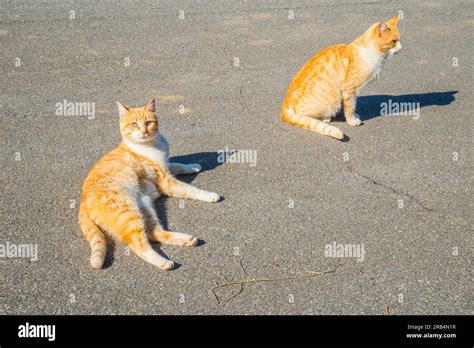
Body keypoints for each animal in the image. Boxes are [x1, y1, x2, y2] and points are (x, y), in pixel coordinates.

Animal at [78, 99, 220, 270]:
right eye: (134, 124)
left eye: (148, 122)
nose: (144, 131)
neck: (151, 145)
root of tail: (83, 199)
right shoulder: (166, 181)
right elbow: (190, 189)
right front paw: (210, 195)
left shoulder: (165, 167)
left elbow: (178, 165)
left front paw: (193, 166)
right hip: (129, 214)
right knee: (139, 244)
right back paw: (164, 262)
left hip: (145, 209)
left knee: (153, 233)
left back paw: (186, 240)